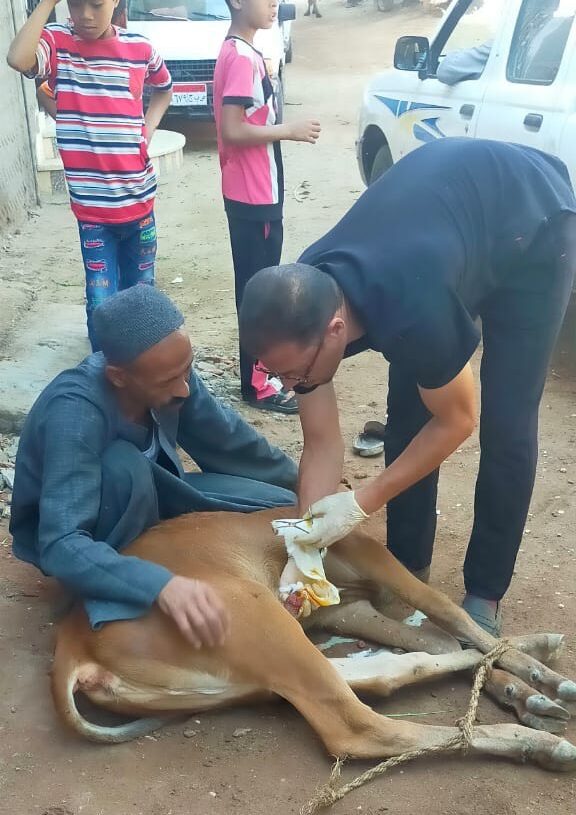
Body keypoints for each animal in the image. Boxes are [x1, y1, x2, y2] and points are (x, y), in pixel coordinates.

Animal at [51, 510, 572, 772]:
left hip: (251, 668)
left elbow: (440, 639)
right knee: (356, 727)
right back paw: (537, 741)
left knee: (392, 670)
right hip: (253, 613)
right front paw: (531, 676)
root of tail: (73, 645)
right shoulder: (373, 559)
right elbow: (449, 613)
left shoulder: (344, 609)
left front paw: (522, 684)